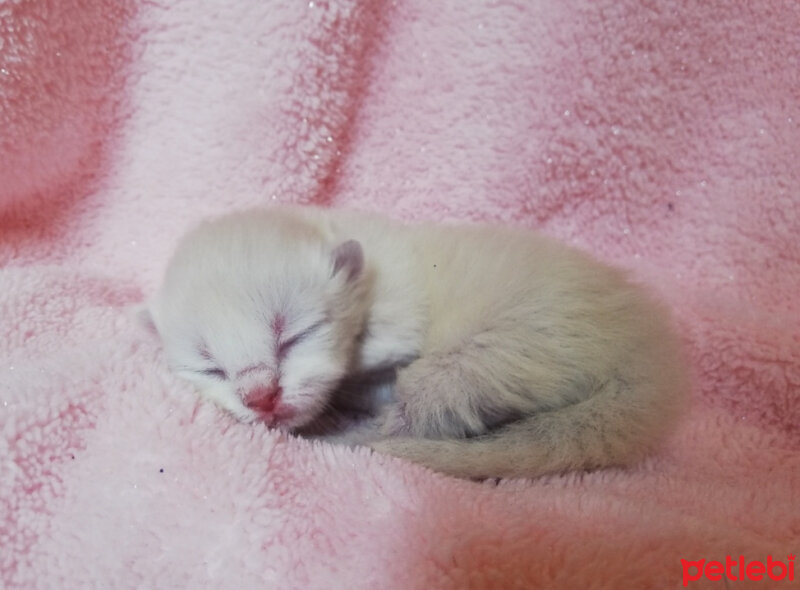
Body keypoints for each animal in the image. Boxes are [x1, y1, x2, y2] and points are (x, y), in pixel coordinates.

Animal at [142, 207, 688, 480]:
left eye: (293, 335)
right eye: (209, 366)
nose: (261, 398)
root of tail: (650, 361)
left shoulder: (402, 317)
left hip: (488, 356)